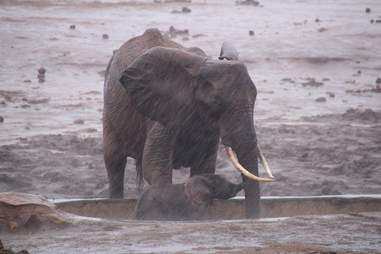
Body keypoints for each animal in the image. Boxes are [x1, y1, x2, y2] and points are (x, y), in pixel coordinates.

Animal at [102, 28, 272, 218]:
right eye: (216, 103)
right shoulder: (163, 107)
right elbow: (154, 164)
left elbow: (204, 166)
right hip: (110, 111)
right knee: (114, 161)